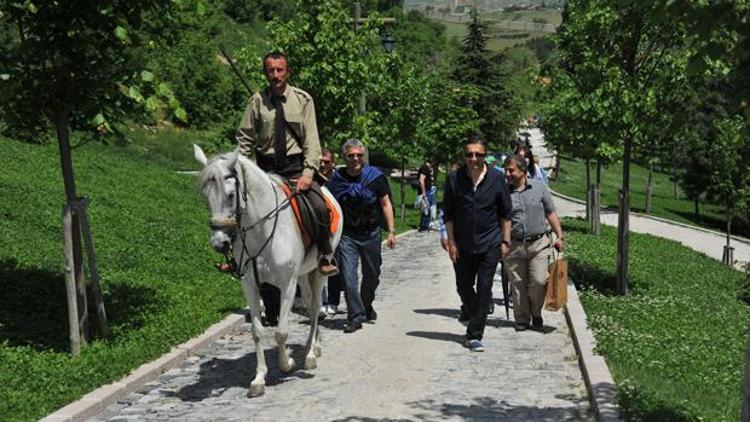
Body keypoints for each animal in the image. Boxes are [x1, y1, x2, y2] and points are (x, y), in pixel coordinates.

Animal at [195, 145, 346, 396]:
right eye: (205, 197)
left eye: (231, 195)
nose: (219, 243)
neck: (262, 231)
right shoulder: (250, 285)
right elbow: (257, 332)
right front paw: (259, 379)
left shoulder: (287, 285)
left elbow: (281, 331)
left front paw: (286, 364)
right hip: (303, 273)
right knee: (310, 303)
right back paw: (311, 345)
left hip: (320, 269)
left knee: (316, 306)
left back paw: (310, 354)